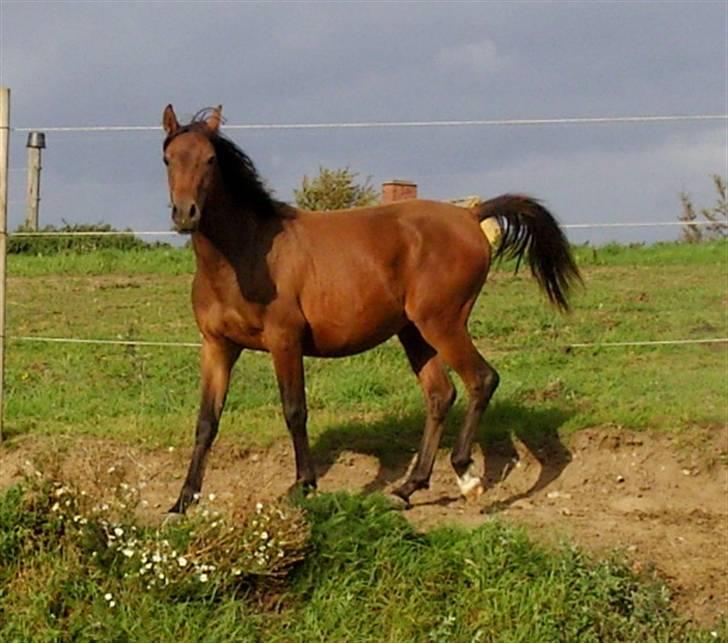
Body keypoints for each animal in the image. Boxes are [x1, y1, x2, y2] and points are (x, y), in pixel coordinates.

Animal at [161, 104, 580, 512]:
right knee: (440, 394)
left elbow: (295, 410)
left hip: (443, 323)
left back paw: (466, 475)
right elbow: (207, 421)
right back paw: (407, 488)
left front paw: (304, 485)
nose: (185, 214)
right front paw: (182, 501)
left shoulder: (284, 341)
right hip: (414, 332)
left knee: (481, 379)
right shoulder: (218, 346)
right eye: (167, 158)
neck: (245, 255)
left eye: (210, 159)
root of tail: (469, 216)